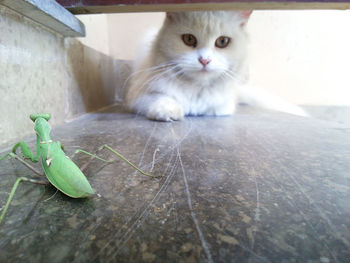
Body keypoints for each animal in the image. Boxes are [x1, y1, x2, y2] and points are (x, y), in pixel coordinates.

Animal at [124, 10, 308, 121]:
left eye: (222, 42)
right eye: (189, 39)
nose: (204, 60)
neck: (197, 89)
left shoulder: (221, 108)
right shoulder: (138, 95)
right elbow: (162, 100)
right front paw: (171, 112)